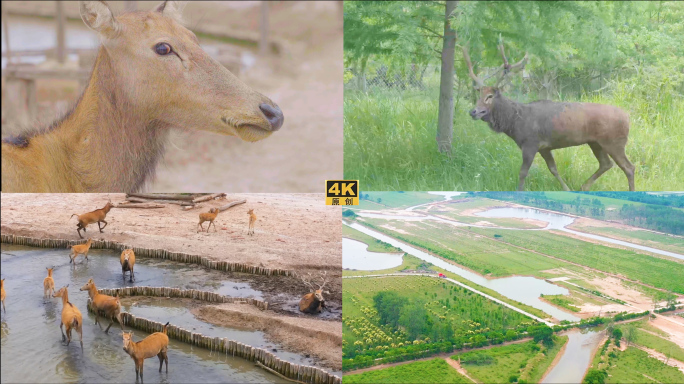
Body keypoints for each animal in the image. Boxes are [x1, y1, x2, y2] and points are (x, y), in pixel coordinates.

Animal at [462, 39, 632, 191]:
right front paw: (567, 189)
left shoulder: (530, 143)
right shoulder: (544, 147)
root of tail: (628, 118)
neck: (515, 123)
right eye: (479, 96)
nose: (474, 111)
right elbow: (553, 169)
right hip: (595, 142)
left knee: (628, 167)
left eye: (490, 96)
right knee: (606, 163)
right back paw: (584, 187)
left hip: (615, 142)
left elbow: (523, 173)